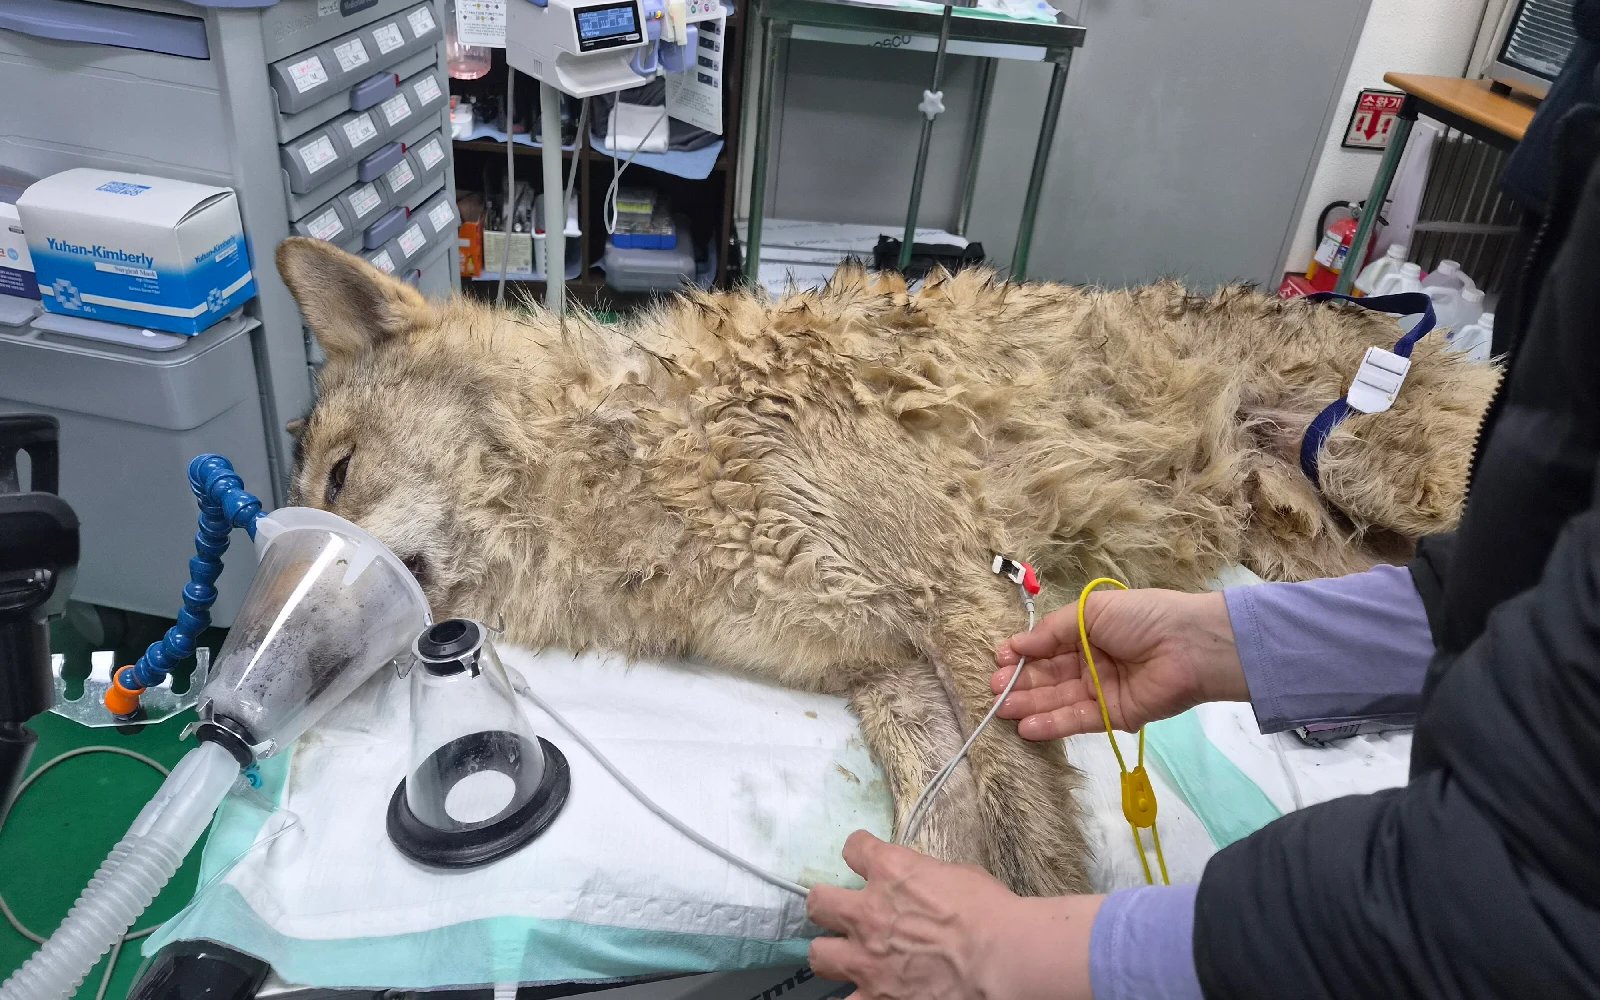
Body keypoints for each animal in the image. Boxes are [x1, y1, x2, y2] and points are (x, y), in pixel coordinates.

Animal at [275, 237, 1497, 896]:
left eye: (338, 476)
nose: (264, 685)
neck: (623, 448)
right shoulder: (886, 671)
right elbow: (947, 830)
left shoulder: (962, 600)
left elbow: (1028, 854)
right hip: (1316, 551)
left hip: (1392, 481)